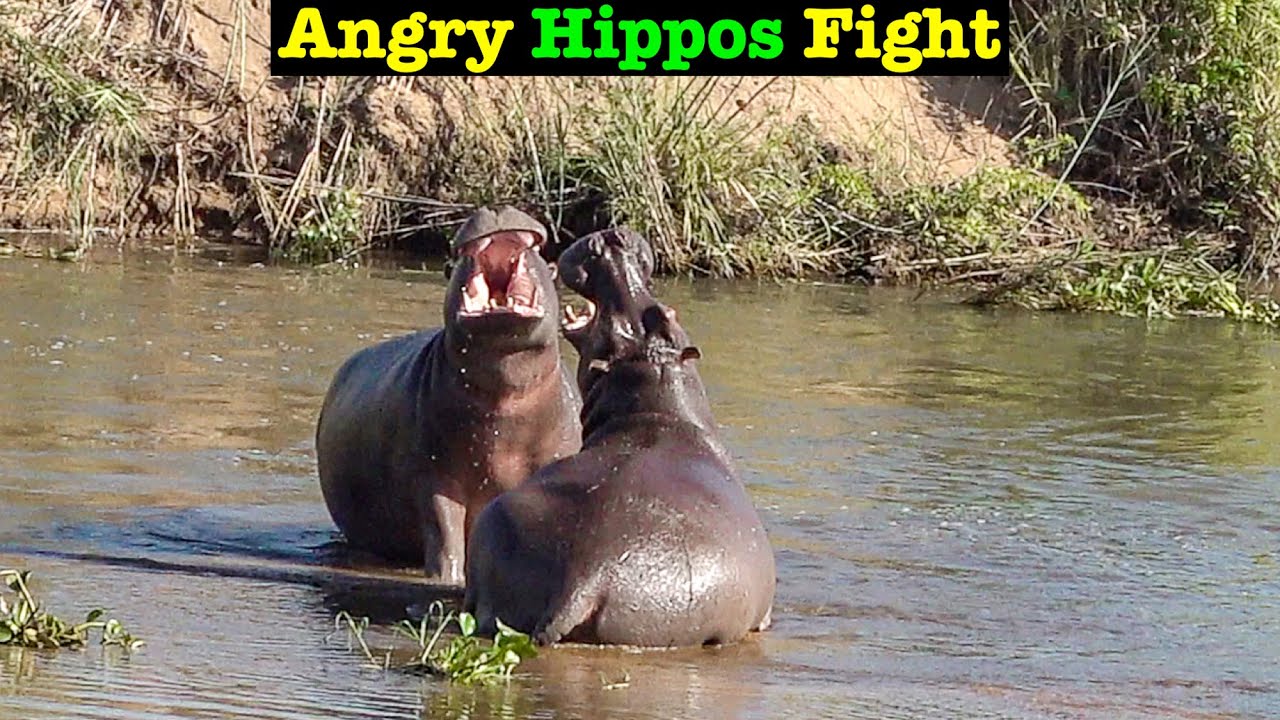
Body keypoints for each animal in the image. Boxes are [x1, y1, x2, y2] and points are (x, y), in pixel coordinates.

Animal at [314, 206, 582, 585]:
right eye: (450, 267)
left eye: (549, 263)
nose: (496, 206)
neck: (506, 395)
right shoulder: (434, 476)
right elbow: (445, 532)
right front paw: (448, 580)